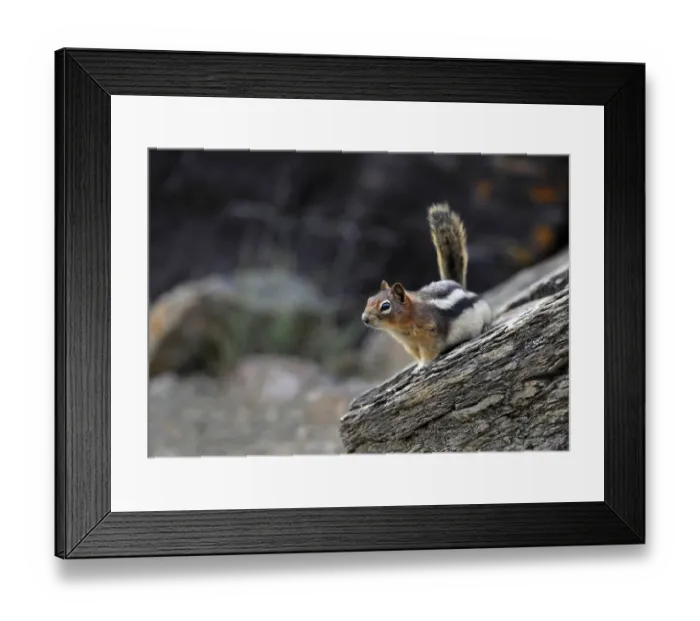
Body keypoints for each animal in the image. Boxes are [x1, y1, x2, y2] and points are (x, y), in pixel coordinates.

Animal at [361, 202, 492, 372]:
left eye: (385, 306)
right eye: (369, 300)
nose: (364, 319)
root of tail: (459, 285)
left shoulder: (430, 336)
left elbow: (428, 353)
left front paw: (423, 366)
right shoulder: (410, 345)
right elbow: (417, 355)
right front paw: (417, 365)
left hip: (484, 309)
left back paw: (486, 327)